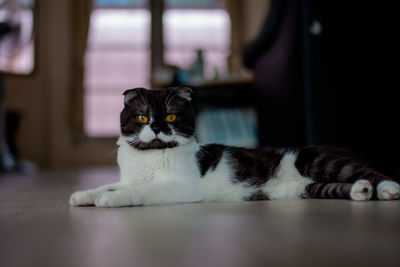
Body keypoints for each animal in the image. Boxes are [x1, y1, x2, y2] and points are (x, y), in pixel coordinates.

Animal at [69, 87, 400, 208]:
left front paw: (112, 200)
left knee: (374, 173)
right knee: (341, 186)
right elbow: (109, 184)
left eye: (172, 116)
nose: (158, 128)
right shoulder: (127, 177)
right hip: (306, 188)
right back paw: (361, 192)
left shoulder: (182, 187)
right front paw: (84, 195)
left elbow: (140, 191)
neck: (148, 158)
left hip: (318, 160)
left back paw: (388, 190)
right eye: (141, 117)